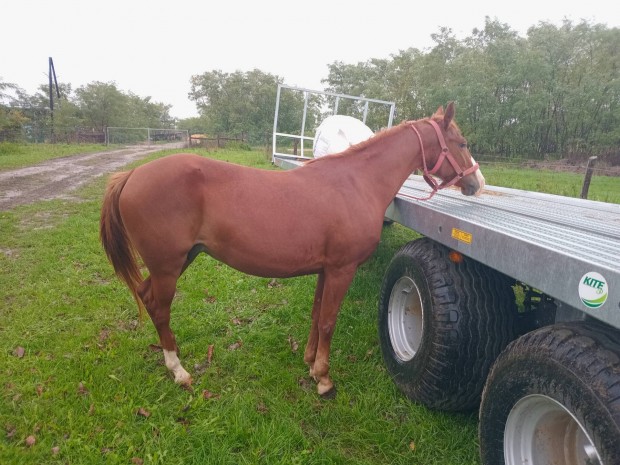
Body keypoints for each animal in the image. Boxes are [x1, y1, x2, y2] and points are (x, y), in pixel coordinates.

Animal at [99, 101, 484, 396]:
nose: (477, 183)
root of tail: (131, 176)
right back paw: (178, 370)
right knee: (160, 308)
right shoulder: (342, 269)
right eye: (462, 142)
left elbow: (316, 316)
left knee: (147, 297)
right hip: (168, 265)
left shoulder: (325, 269)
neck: (356, 182)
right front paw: (324, 378)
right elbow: (328, 321)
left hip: (178, 260)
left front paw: (310, 363)